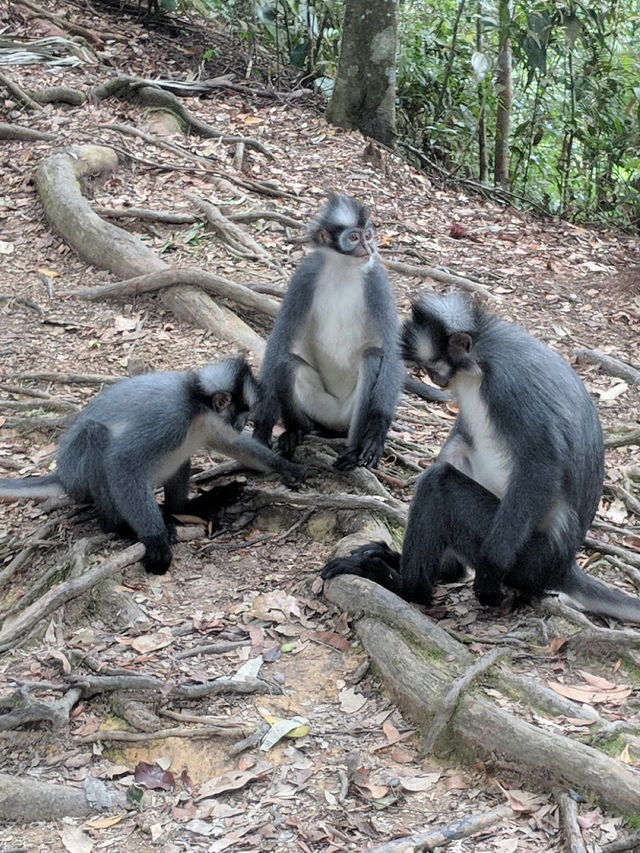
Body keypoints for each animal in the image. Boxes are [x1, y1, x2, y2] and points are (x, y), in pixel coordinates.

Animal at [0, 356, 304, 576]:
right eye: (242, 413)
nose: (243, 423)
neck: (195, 401)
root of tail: (62, 474)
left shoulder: (210, 426)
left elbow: (230, 443)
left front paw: (284, 466)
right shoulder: (172, 418)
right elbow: (122, 461)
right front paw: (154, 538)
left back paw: (184, 508)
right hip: (78, 472)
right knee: (94, 435)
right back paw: (120, 526)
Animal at [251, 193, 404, 470]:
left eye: (368, 235)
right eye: (353, 238)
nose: (369, 248)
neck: (343, 269)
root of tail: (333, 424)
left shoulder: (377, 279)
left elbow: (391, 350)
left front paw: (376, 435)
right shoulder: (306, 275)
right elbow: (279, 342)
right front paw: (262, 428)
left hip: (347, 415)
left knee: (371, 359)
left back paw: (352, 451)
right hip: (320, 409)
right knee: (287, 362)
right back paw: (296, 431)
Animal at [322, 292, 640, 620]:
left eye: (434, 366)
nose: (434, 378)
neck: (479, 359)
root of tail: (561, 566)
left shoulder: (509, 384)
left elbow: (542, 463)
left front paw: (489, 570)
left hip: (530, 558)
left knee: (439, 484)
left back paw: (407, 587)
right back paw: (435, 569)